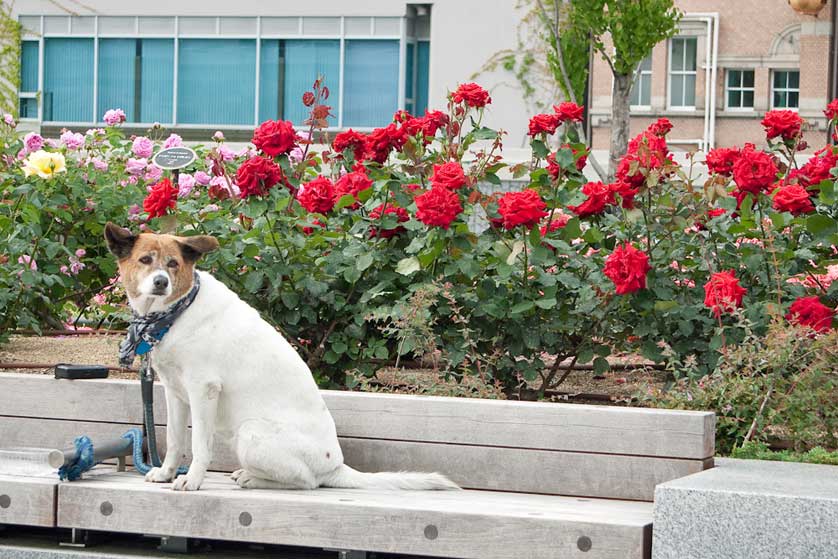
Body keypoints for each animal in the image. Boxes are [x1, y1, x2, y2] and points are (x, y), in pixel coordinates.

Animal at [106, 225, 460, 492]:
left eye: (173, 264)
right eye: (146, 259)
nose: (161, 282)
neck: (174, 314)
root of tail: (336, 466)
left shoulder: (203, 390)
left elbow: (199, 445)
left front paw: (192, 480)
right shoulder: (175, 393)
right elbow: (175, 439)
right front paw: (167, 473)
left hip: (251, 432)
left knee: (306, 482)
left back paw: (252, 479)